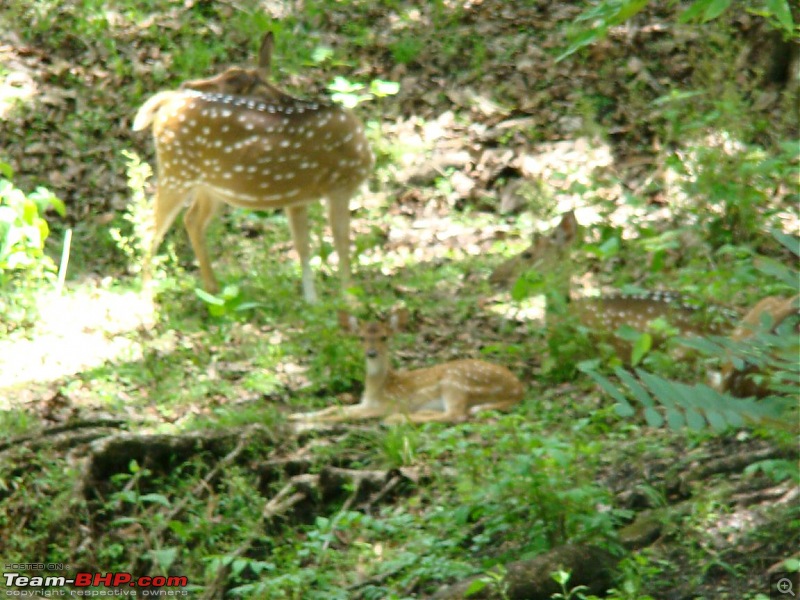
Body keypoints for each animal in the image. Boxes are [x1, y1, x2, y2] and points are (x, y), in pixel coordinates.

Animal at [133, 31, 374, 302]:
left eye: (231, 80)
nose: (187, 83)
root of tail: (169, 102)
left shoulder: (298, 197)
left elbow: (303, 245)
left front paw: (313, 300)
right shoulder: (339, 186)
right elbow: (341, 243)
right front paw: (350, 299)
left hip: (208, 186)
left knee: (191, 219)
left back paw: (212, 289)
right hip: (175, 171)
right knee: (150, 228)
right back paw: (147, 297)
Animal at [288, 312, 524, 424]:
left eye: (384, 337)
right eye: (361, 338)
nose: (371, 353)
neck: (378, 387)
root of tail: (517, 388)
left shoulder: (385, 405)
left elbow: (340, 416)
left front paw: (306, 423)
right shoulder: (366, 402)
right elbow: (333, 408)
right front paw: (297, 416)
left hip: (455, 380)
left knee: (456, 415)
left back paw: (396, 420)